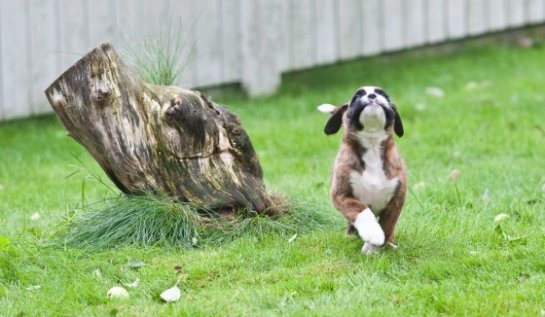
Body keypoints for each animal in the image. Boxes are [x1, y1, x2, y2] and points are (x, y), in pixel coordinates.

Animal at [316, 85, 406, 253]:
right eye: (356, 97)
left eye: (384, 96)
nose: (372, 96)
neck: (372, 144)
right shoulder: (341, 195)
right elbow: (361, 210)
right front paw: (372, 232)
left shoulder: (397, 199)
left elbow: (387, 225)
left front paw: (373, 248)